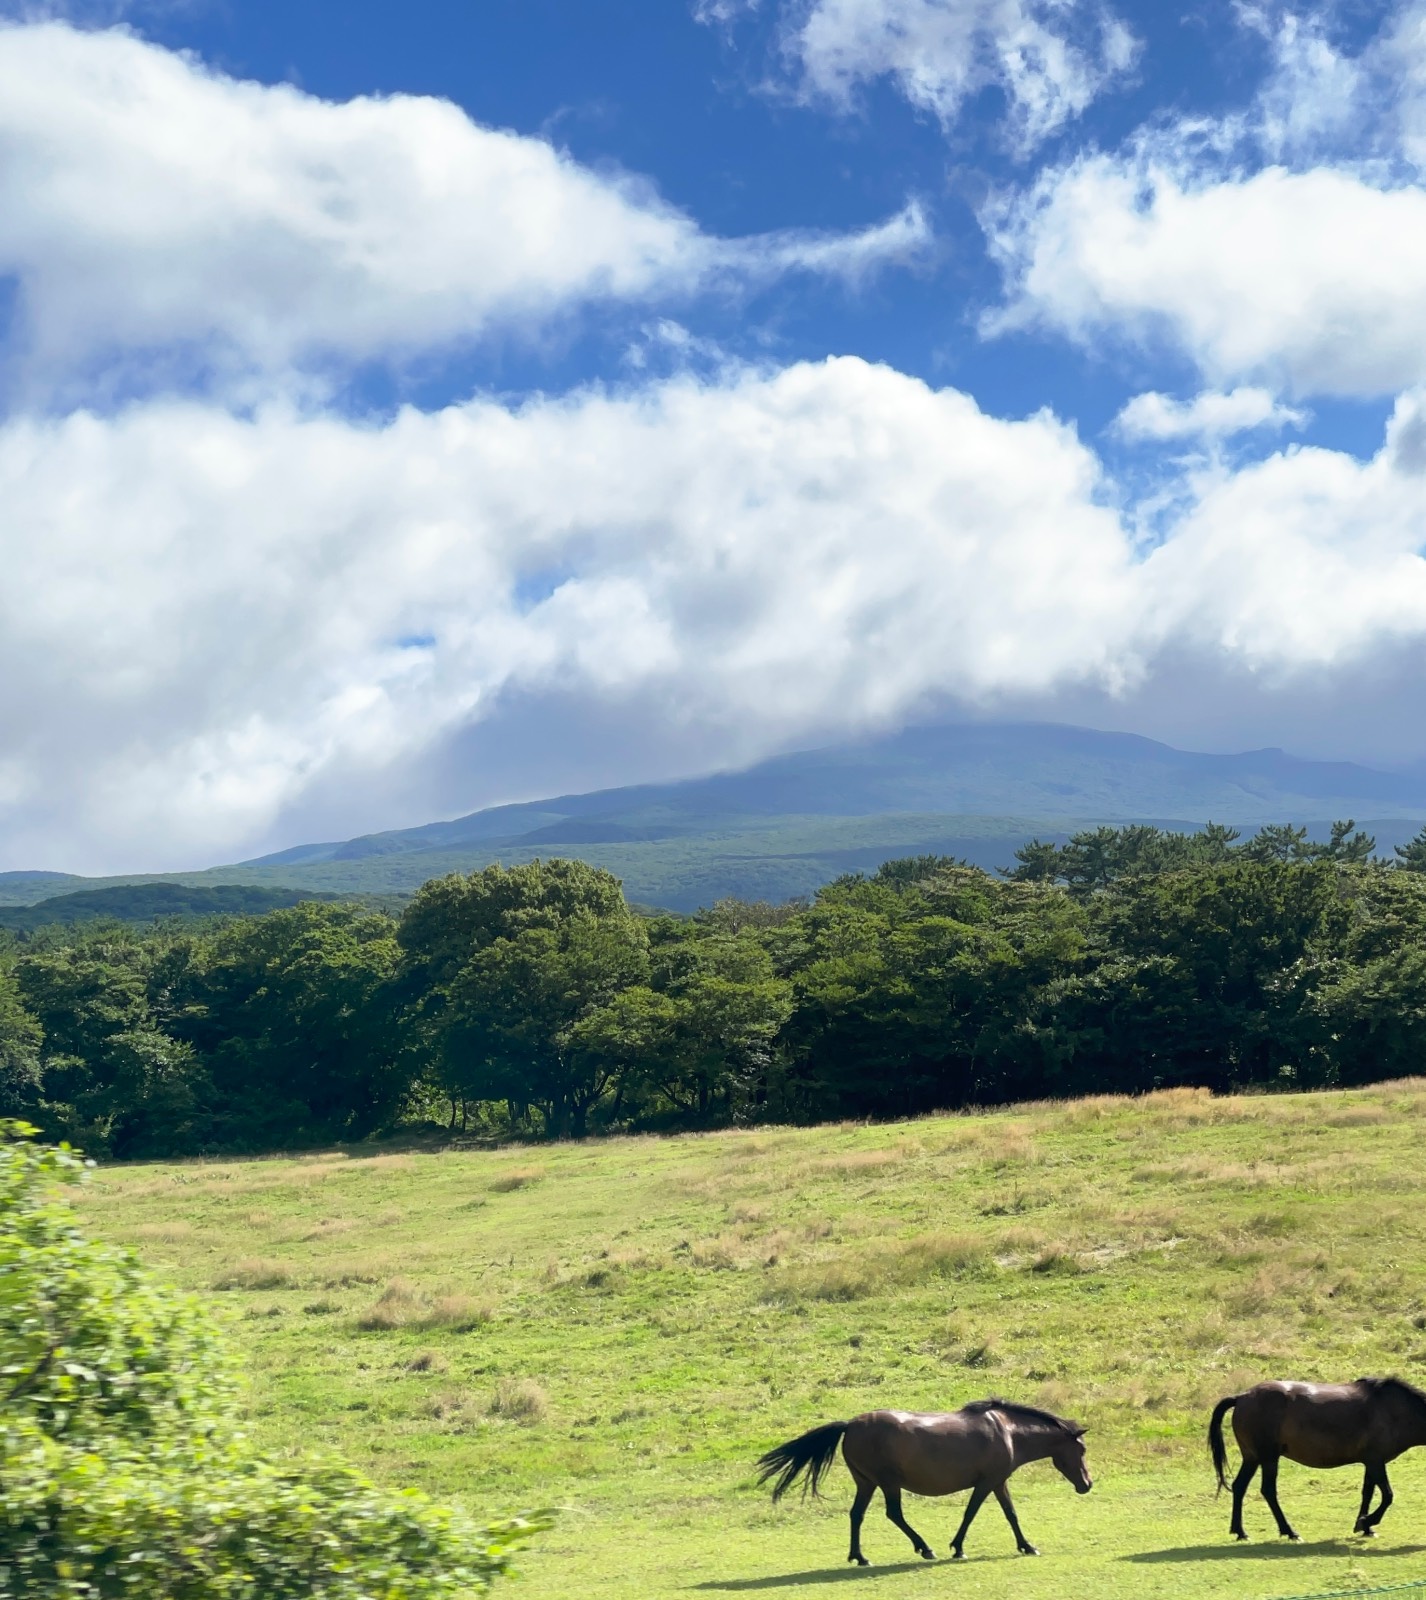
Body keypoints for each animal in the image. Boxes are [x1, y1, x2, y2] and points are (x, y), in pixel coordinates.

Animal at [758, 1401, 1094, 1561]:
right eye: (1082, 1449)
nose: (1087, 1484)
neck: (1007, 1431)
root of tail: (850, 1424)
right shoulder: (987, 1482)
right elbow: (972, 1513)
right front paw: (957, 1548)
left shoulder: (998, 1483)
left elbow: (1010, 1514)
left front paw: (1026, 1546)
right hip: (888, 1483)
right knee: (894, 1514)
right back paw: (925, 1548)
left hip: (866, 1483)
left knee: (857, 1515)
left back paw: (860, 1557)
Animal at [1216, 1376, 1426, 1536]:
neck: (1393, 1410)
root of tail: (1242, 1397)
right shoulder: (1376, 1461)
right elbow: (1387, 1496)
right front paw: (1367, 1522)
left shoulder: (1371, 1462)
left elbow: (1367, 1493)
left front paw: (1364, 1526)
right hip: (1269, 1458)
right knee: (1268, 1490)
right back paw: (1289, 1531)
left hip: (1252, 1458)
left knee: (1239, 1486)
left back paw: (1240, 1531)